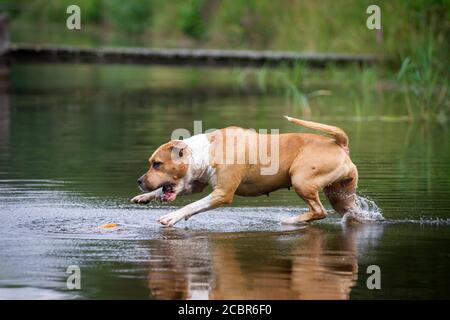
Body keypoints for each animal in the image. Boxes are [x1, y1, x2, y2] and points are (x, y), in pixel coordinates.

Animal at [131, 116, 358, 226]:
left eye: (157, 164)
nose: (139, 181)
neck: (205, 152)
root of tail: (339, 143)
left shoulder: (222, 194)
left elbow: (192, 205)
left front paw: (171, 217)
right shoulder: (195, 184)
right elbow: (177, 194)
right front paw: (144, 197)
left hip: (301, 180)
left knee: (319, 211)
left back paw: (290, 221)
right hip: (340, 194)